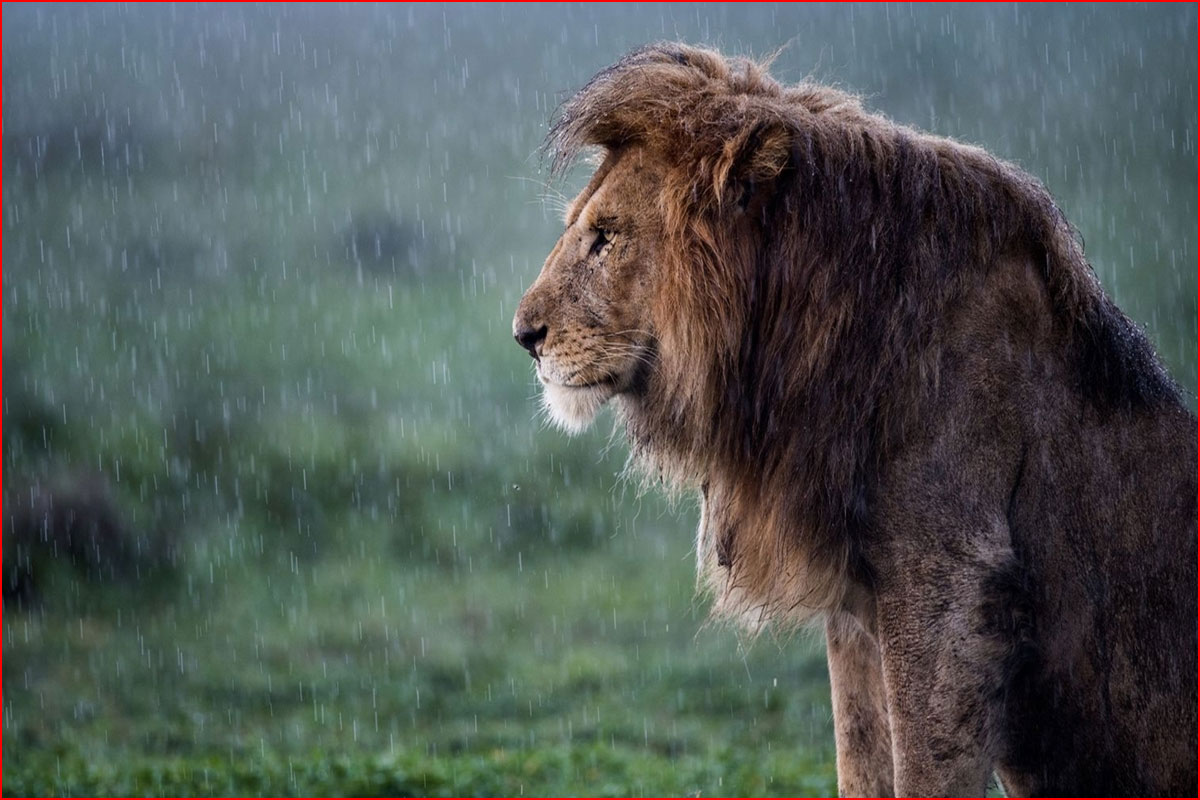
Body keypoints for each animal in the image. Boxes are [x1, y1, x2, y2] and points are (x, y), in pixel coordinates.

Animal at [511, 45, 1195, 800]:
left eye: (605, 238)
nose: (523, 335)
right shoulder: (856, 604)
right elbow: (861, 760)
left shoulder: (947, 586)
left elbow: (925, 771)